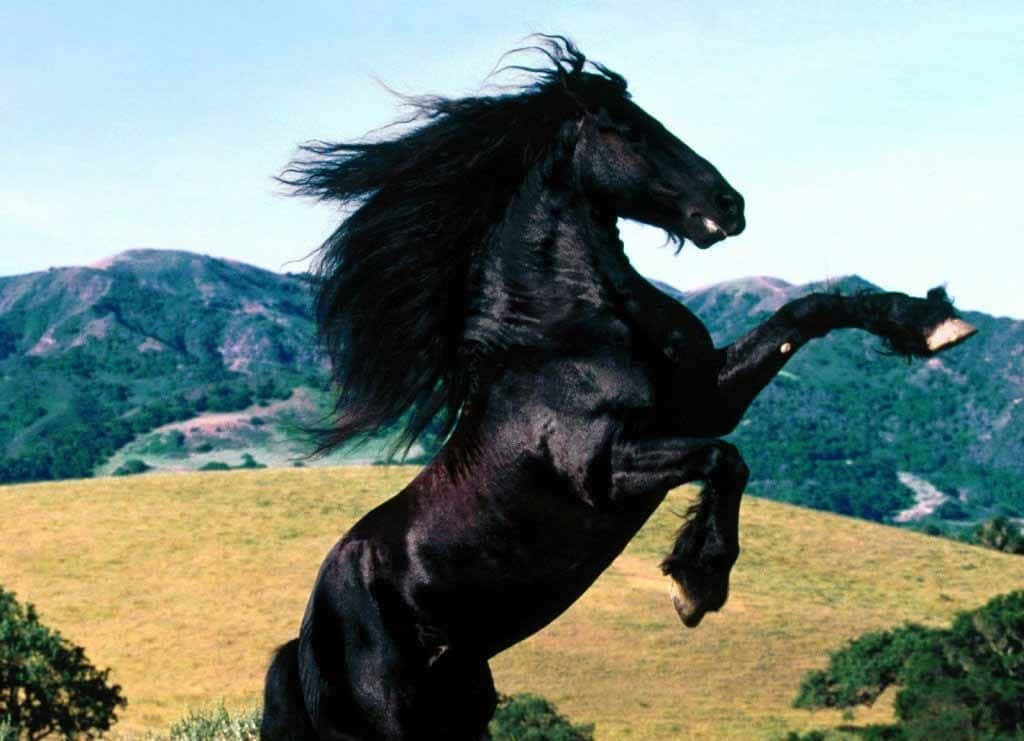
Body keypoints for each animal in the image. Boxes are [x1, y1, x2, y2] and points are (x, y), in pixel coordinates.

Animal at [261, 36, 976, 740]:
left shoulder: (706, 400)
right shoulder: (606, 469)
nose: (730, 206)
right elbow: (724, 458)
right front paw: (696, 584)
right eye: (628, 129)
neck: (567, 332)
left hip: (464, 711)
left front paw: (932, 324)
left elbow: (807, 315)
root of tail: (304, 644)